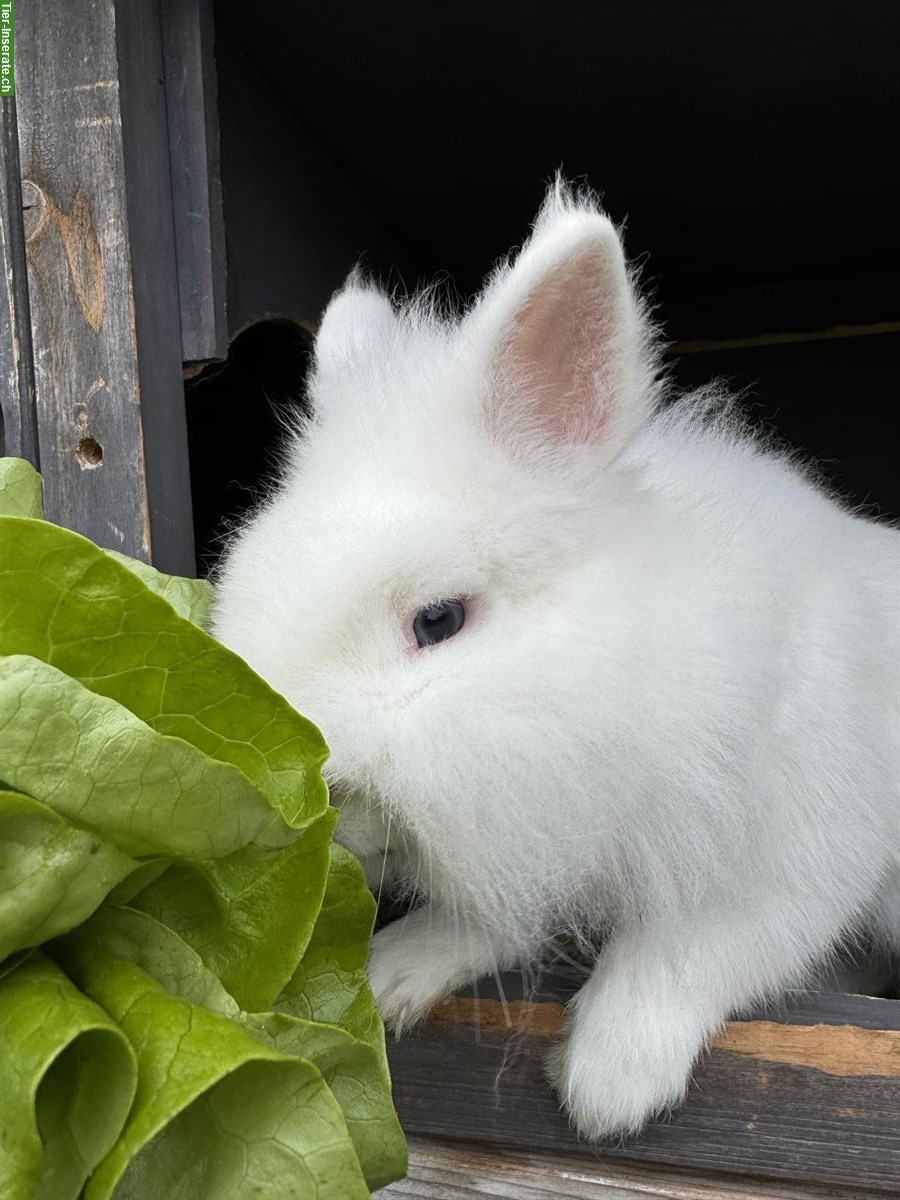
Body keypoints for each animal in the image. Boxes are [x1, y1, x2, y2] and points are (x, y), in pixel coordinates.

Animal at [214, 182, 900, 1137]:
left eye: (437, 620)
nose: (312, 792)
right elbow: (493, 915)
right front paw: (394, 974)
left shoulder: (803, 845)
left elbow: (698, 944)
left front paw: (610, 1084)